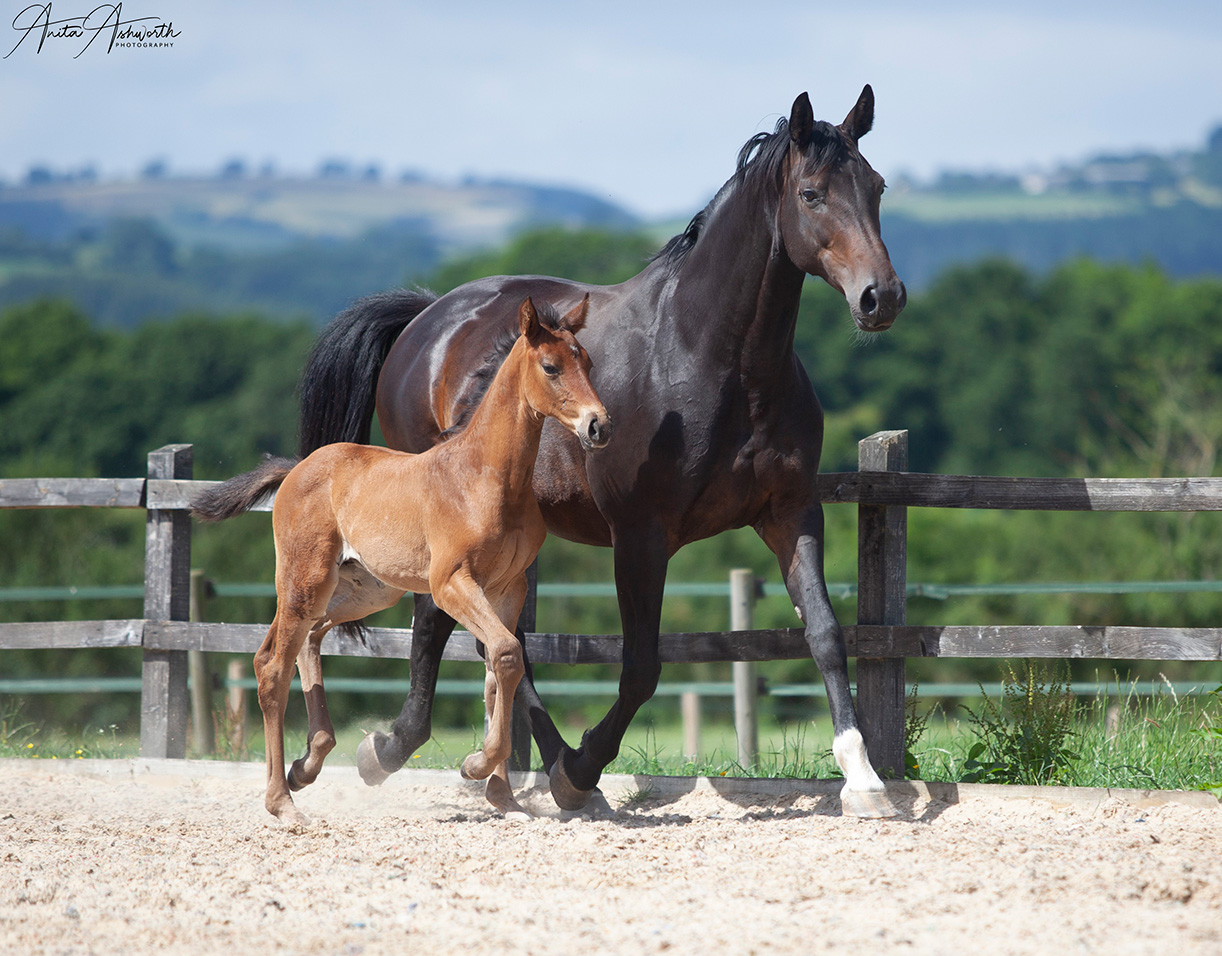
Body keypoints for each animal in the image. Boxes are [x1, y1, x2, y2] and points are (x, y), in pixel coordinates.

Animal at [193, 295, 608, 826]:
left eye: (588, 363)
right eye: (551, 367)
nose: (599, 425)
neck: (487, 476)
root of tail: (298, 468)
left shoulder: (507, 588)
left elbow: (499, 672)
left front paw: (503, 796)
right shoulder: (451, 583)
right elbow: (507, 654)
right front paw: (476, 766)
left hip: (365, 589)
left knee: (309, 639)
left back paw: (307, 764)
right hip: (306, 578)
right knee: (271, 667)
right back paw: (283, 802)